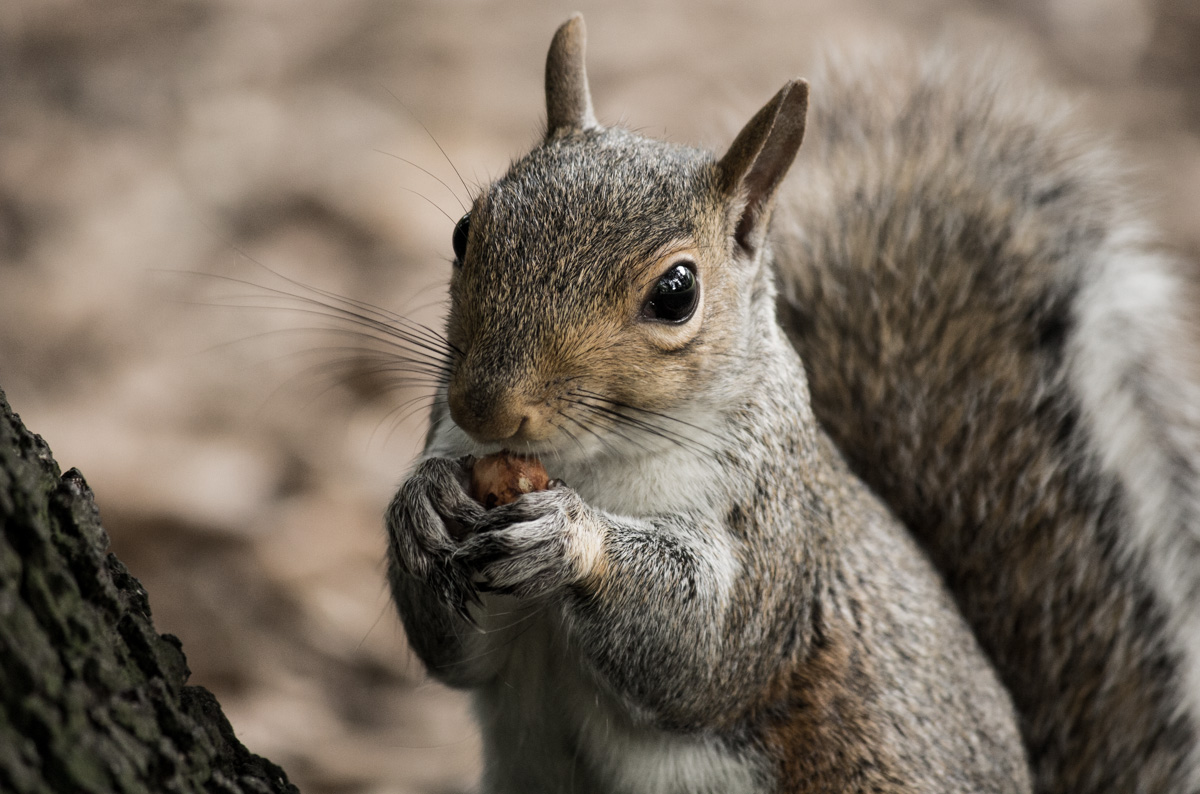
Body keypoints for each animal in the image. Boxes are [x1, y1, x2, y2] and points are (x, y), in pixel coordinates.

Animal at [384, 14, 1200, 794]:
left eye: (675, 293)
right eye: (465, 231)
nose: (486, 409)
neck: (590, 461)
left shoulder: (775, 537)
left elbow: (706, 650)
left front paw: (570, 535)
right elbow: (456, 654)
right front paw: (420, 506)